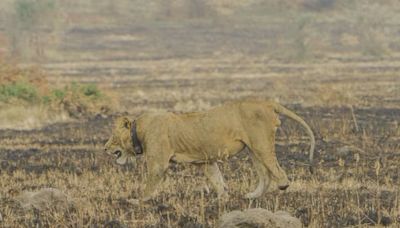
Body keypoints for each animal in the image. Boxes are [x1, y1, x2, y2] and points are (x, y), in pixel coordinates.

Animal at [104, 100, 316, 201]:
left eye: (113, 137)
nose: (105, 148)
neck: (138, 130)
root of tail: (266, 102)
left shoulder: (158, 164)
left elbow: (149, 185)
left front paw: (138, 201)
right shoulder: (206, 161)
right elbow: (216, 179)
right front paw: (223, 198)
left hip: (261, 144)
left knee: (275, 169)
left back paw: (283, 185)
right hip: (252, 149)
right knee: (265, 175)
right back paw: (252, 196)